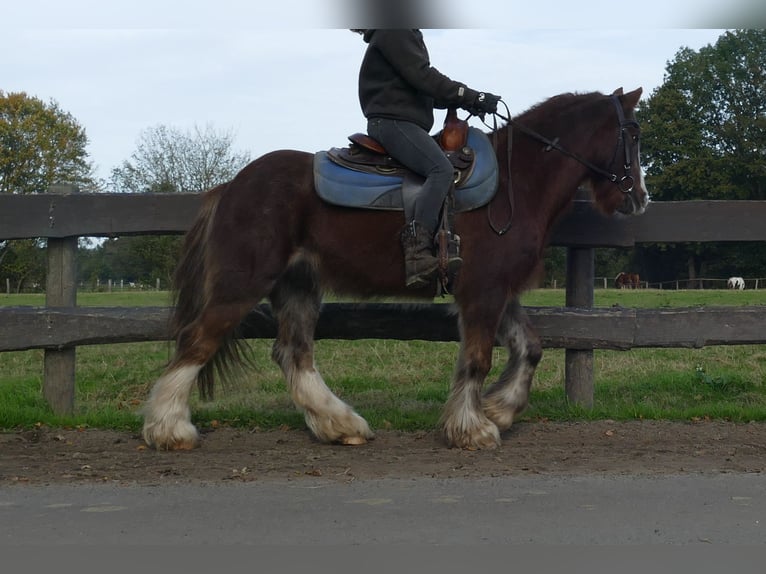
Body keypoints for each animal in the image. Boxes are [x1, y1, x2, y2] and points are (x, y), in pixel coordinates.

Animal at [142, 88, 648, 452]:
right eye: (634, 133)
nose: (640, 198)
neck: (515, 183)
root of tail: (231, 186)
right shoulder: (483, 291)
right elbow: (478, 359)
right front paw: (472, 429)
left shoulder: (497, 290)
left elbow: (531, 348)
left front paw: (499, 410)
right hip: (242, 283)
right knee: (197, 341)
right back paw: (169, 430)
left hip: (298, 286)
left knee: (293, 355)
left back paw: (339, 424)